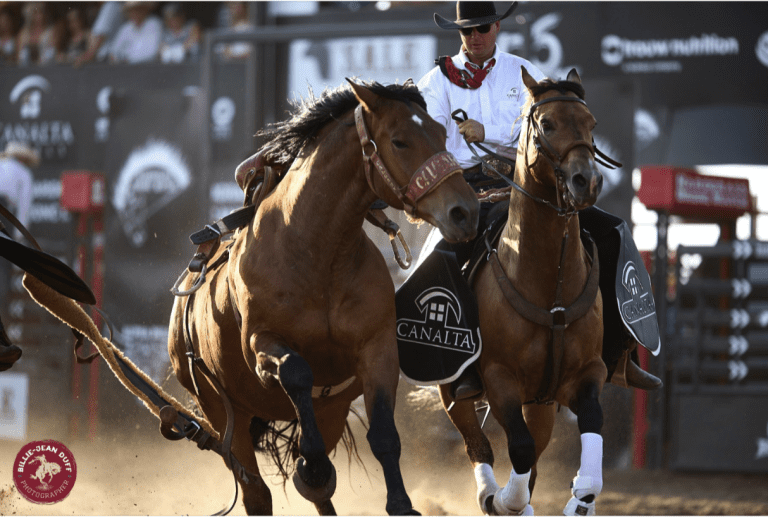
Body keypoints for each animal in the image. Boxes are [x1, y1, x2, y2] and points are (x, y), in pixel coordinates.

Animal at [167, 79, 479, 516]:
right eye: (399, 141)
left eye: (441, 133)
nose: (465, 212)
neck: (317, 255)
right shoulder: (260, 344)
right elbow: (297, 372)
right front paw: (311, 463)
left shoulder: (378, 348)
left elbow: (384, 434)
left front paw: (401, 503)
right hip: (222, 414)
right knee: (256, 492)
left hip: (330, 412)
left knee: (318, 494)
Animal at [440, 67, 608, 516]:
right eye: (546, 124)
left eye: (591, 124)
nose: (586, 181)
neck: (551, 289)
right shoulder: (501, 382)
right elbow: (517, 449)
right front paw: (503, 500)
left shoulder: (587, 374)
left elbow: (590, 430)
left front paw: (581, 497)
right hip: (455, 390)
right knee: (477, 443)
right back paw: (487, 492)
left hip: (542, 403)